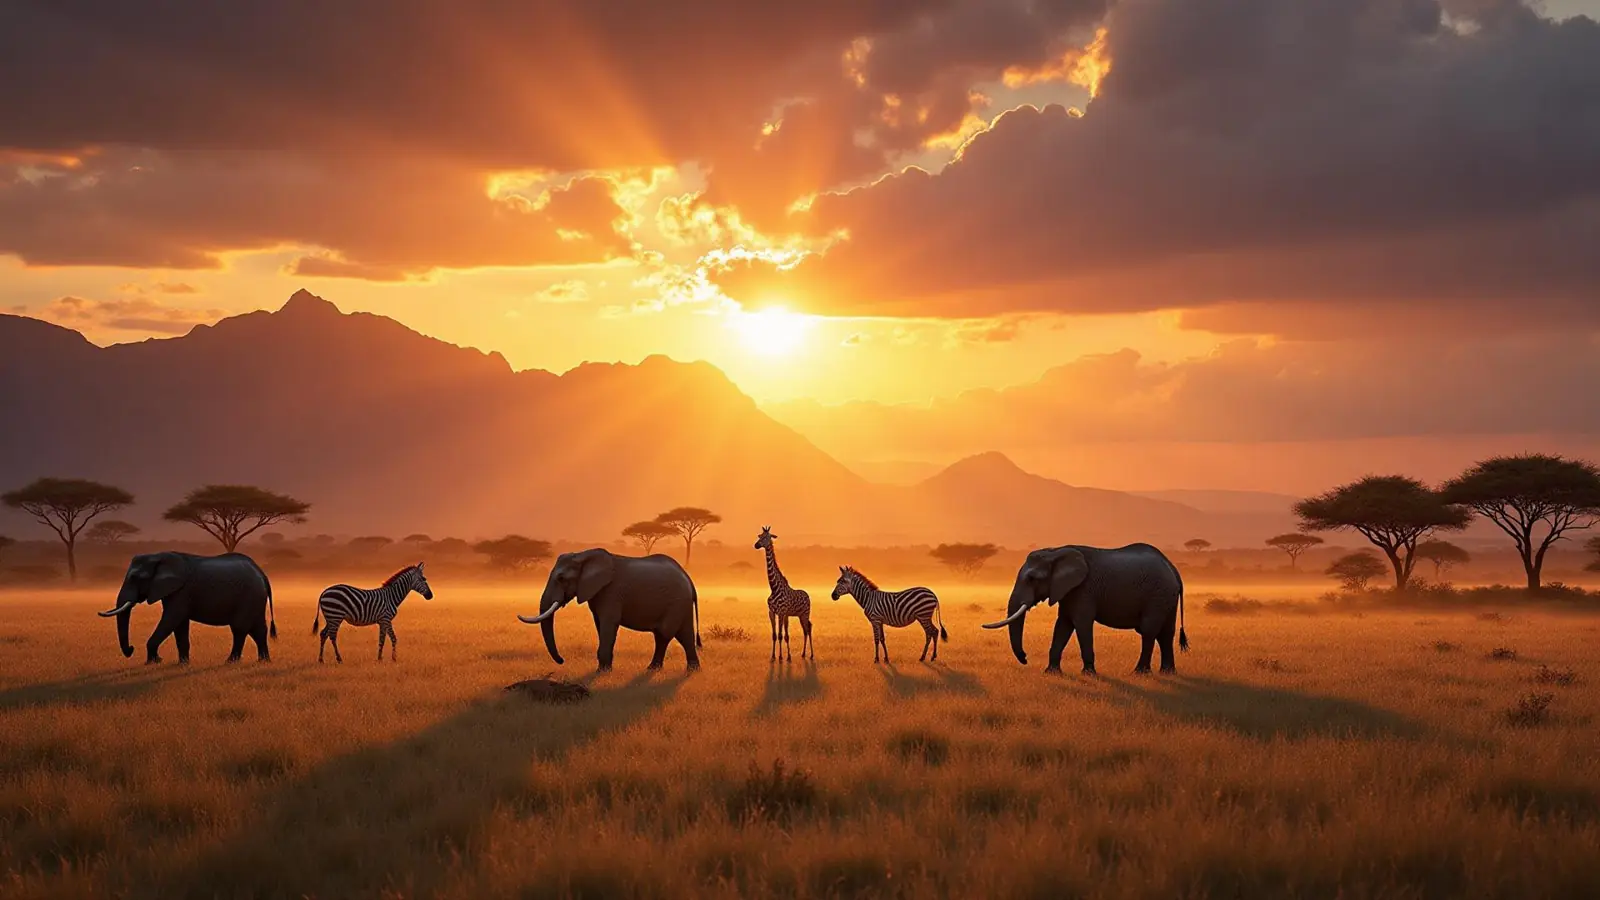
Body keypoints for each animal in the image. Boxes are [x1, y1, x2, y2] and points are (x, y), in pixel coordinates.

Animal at [99, 551, 276, 664]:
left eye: (136, 578)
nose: (131, 649)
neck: (158, 556)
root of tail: (262, 573)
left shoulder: (182, 591)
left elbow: (171, 619)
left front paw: (153, 662)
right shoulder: (172, 591)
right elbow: (179, 625)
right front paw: (183, 663)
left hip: (249, 595)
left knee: (240, 628)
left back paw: (230, 662)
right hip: (255, 598)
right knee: (257, 629)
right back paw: (263, 661)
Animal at [516, 548, 701, 672]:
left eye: (561, 578)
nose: (562, 660)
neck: (583, 556)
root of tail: (689, 579)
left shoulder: (611, 593)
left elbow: (608, 624)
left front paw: (602, 671)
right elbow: (599, 624)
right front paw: (605, 669)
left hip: (677, 602)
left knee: (665, 634)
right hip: (680, 604)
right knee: (681, 635)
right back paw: (679, 670)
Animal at [754, 526, 812, 661]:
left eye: (766, 537)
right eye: (760, 536)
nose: (756, 545)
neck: (774, 588)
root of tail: (807, 595)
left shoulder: (781, 613)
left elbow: (781, 635)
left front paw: (780, 657)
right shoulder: (772, 612)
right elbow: (775, 635)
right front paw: (774, 656)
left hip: (805, 613)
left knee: (808, 630)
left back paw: (810, 655)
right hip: (797, 615)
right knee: (805, 630)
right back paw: (802, 654)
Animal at [982, 543, 1188, 675]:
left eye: (1033, 578)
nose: (1025, 658)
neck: (1055, 552)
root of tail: (1174, 570)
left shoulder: (1083, 589)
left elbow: (1081, 623)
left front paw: (1088, 673)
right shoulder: (1067, 590)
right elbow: (1063, 625)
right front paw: (1051, 673)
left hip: (1158, 594)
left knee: (1149, 631)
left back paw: (1139, 673)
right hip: (1166, 596)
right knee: (1165, 632)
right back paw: (1167, 672)